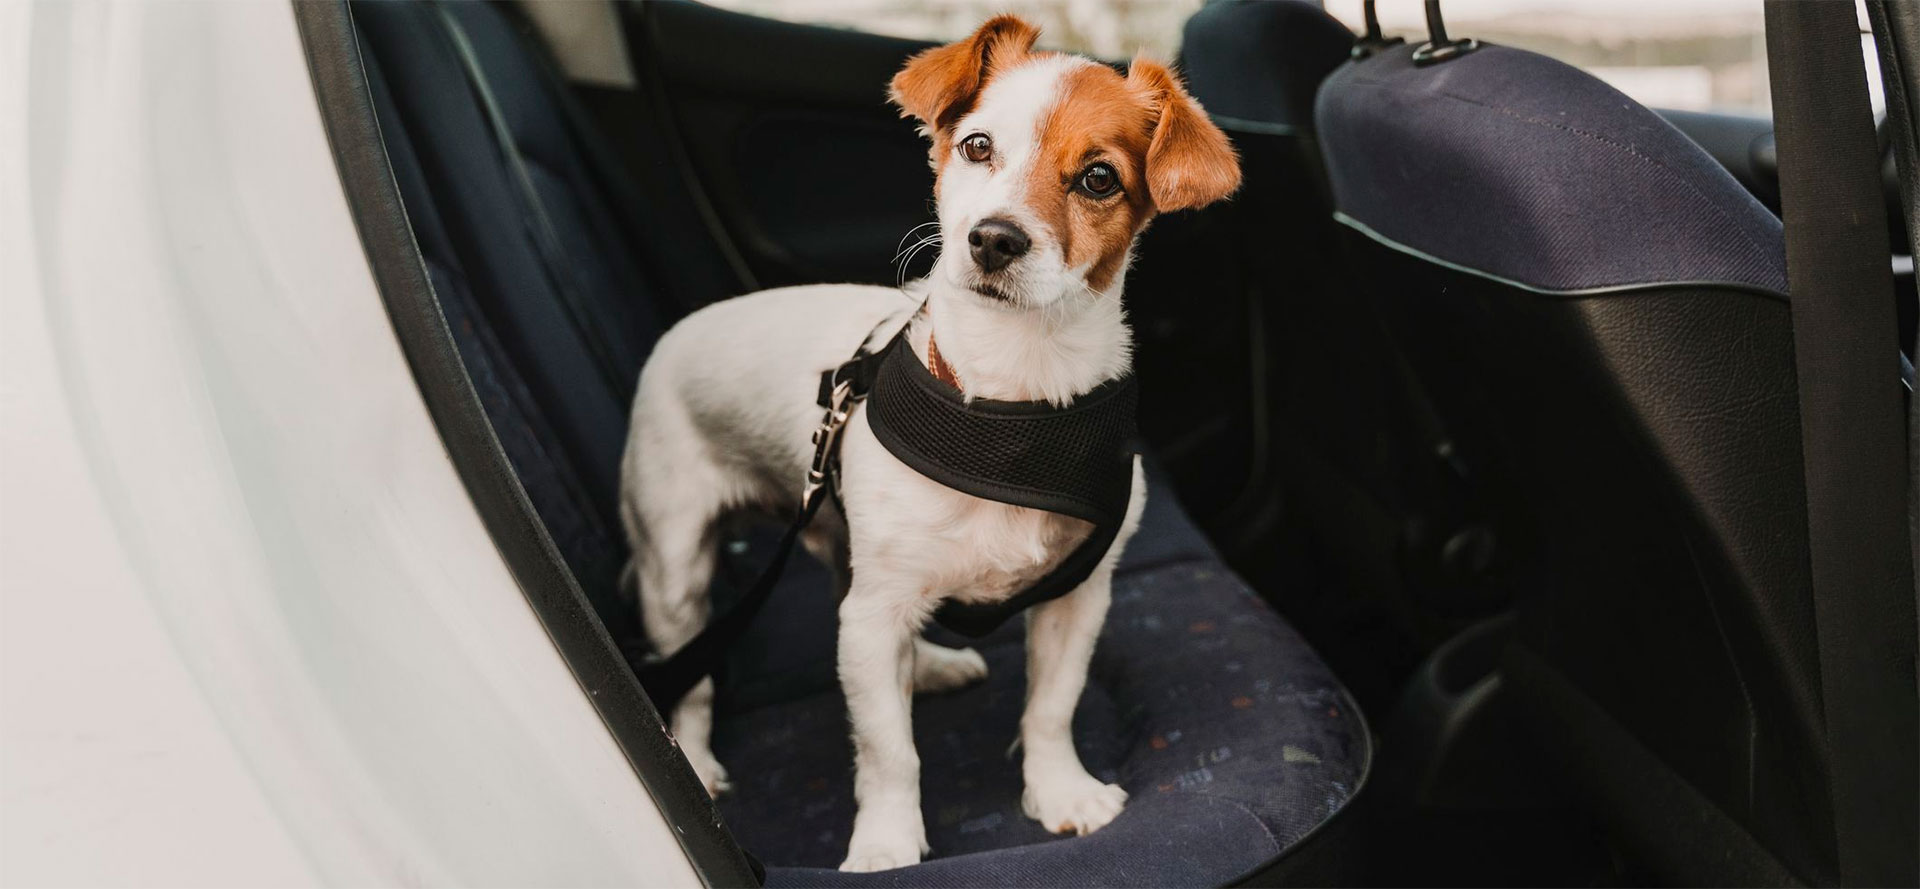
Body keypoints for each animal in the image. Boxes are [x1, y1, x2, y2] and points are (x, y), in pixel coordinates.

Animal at [622, 15, 1236, 875]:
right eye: (977, 146)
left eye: (1099, 179)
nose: (994, 239)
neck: (1010, 403)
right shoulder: (875, 615)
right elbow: (889, 751)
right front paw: (885, 842)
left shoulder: (1077, 597)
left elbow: (1052, 706)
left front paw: (1060, 791)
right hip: (677, 569)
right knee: (695, 676)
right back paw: (699, 759)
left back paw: (932, 665)